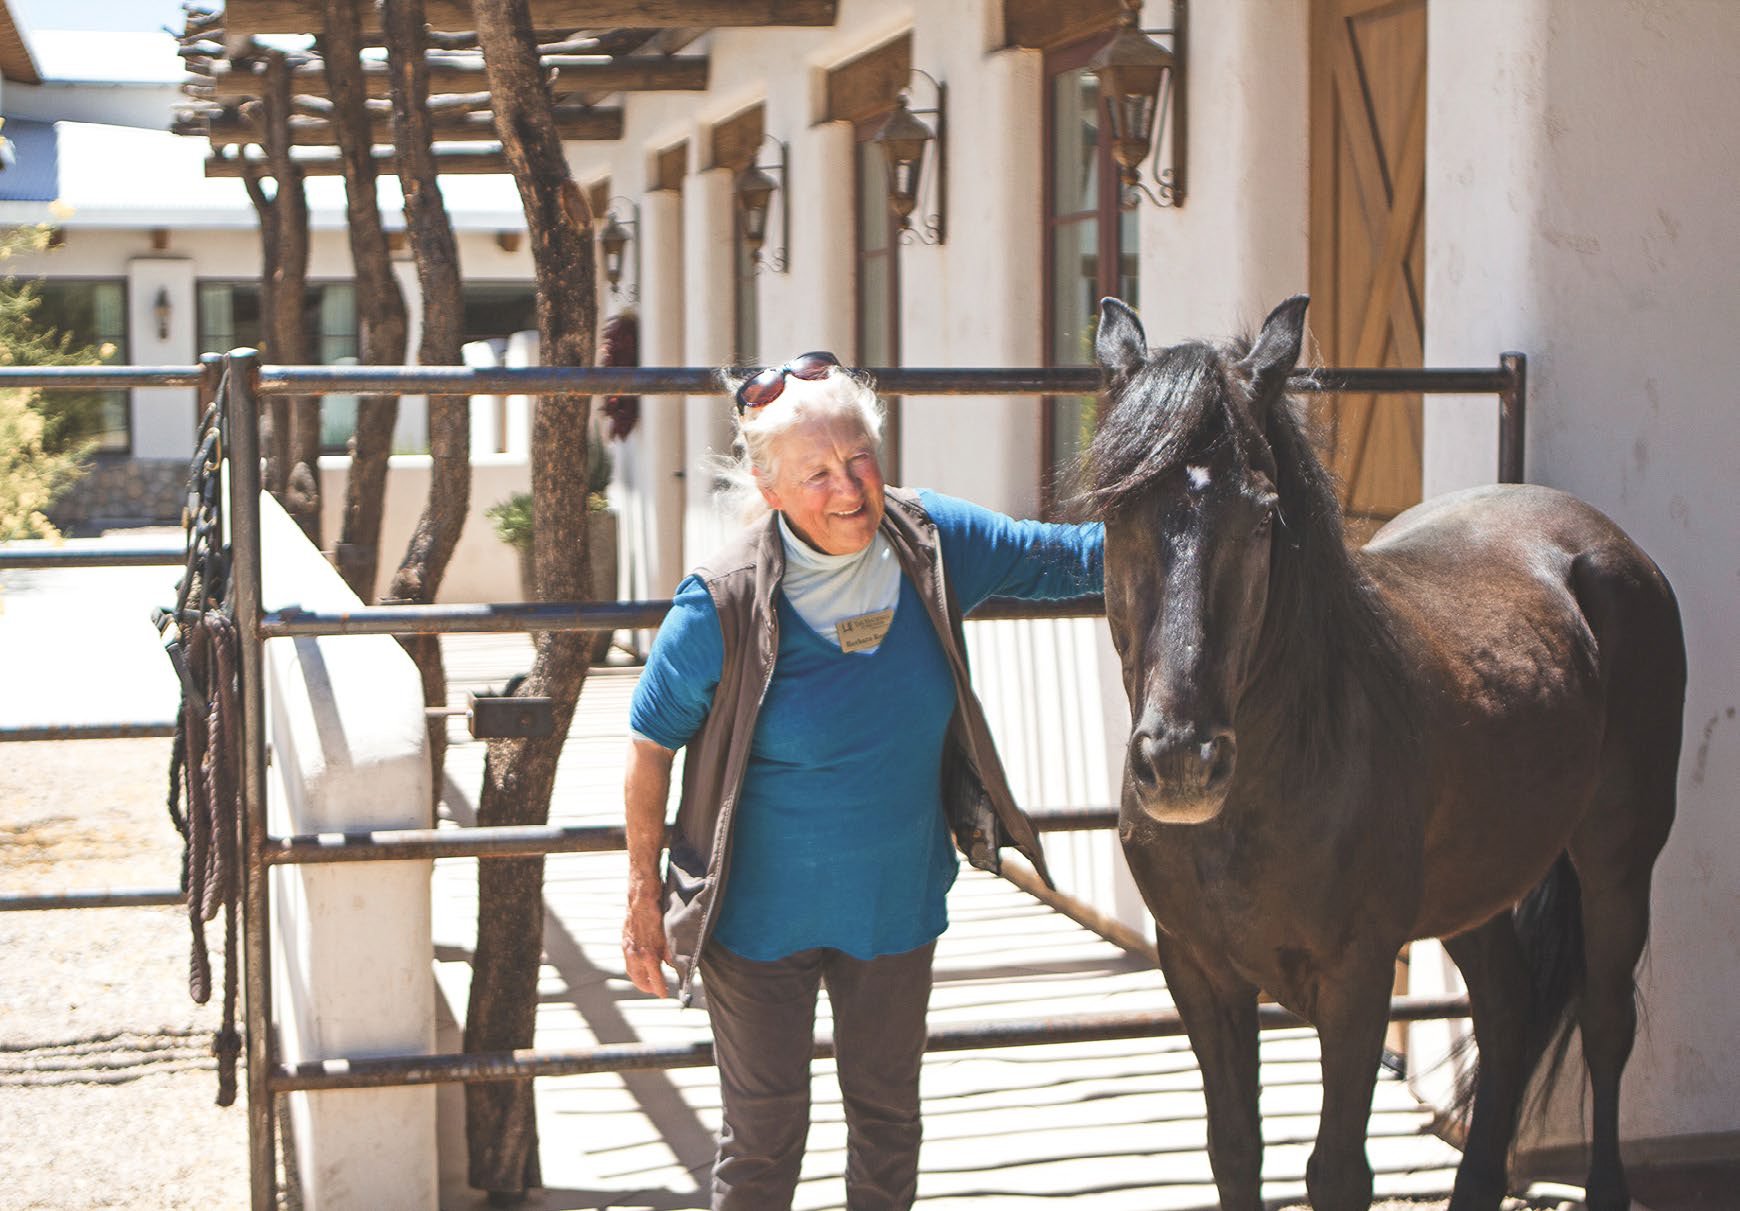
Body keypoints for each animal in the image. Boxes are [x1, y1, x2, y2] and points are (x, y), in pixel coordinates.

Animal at [1085, 295, 1684, 1211]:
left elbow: (1336, 1169)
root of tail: (1608, 547)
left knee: (1607, 1023)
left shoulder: (1357, 977)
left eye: (1262, 514)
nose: (1182, 761)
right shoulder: (1199, 972)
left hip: (1618, 859)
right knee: (1508, 1010)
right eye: (1117, 513)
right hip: (1477, 882)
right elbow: (1234, 1149)